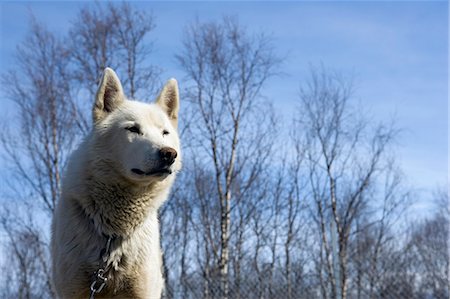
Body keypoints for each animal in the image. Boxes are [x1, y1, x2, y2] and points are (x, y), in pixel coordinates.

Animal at [51, 68, 181, 299]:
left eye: (164, 133)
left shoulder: (142, 292)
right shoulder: (73, 290)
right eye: (133, 129)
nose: (169, 154)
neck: (112, 234)